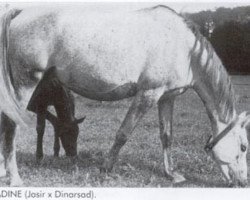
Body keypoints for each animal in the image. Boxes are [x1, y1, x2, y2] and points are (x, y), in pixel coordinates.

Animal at [0, 4, 249, 186]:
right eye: (244, 147)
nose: (242, 182)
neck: (184, 49)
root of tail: (19, 13)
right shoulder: (148, 94)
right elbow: (123, 133)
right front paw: (105, 168)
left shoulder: (167, 97)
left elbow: (166, 136)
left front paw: (171, 174)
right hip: (25, 84)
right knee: (11, 127)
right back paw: (15, 178)